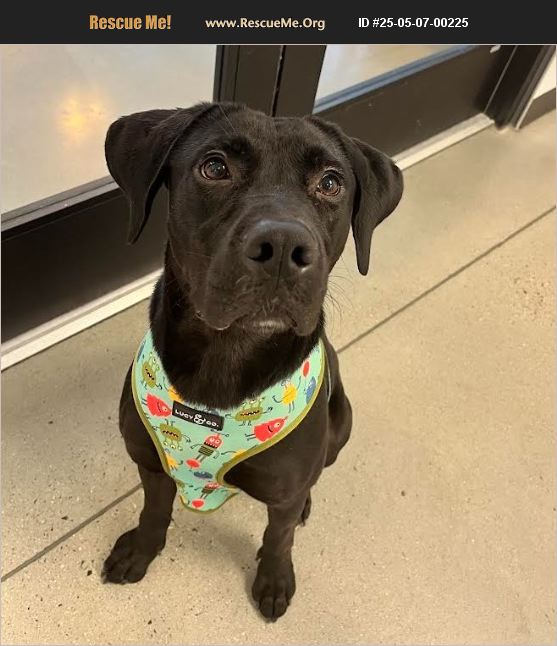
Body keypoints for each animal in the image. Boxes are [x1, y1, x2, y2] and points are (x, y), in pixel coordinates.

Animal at [101, 102, 403, 621]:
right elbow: (154, 510)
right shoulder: (150, 463)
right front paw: (141, 549)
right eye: (215, 167)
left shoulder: (283, 490)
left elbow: (278, 536)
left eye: (330, 182)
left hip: (342, 423)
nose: (282, 248)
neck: (227, 358)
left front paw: (274, 579)